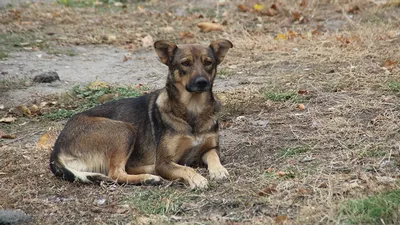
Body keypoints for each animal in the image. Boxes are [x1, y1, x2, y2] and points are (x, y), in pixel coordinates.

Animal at [49, 38, 234, 188]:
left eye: (208, 62)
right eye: (185, 63)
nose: (202, 82)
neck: (193, 109)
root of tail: (56, 151)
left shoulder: (210, 148)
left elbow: (213, 157)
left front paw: (219, 171)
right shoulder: (164, 162)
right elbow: (185, 169)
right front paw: (197, 179)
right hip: (124, 129)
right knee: (115, 173)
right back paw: (149, 178)